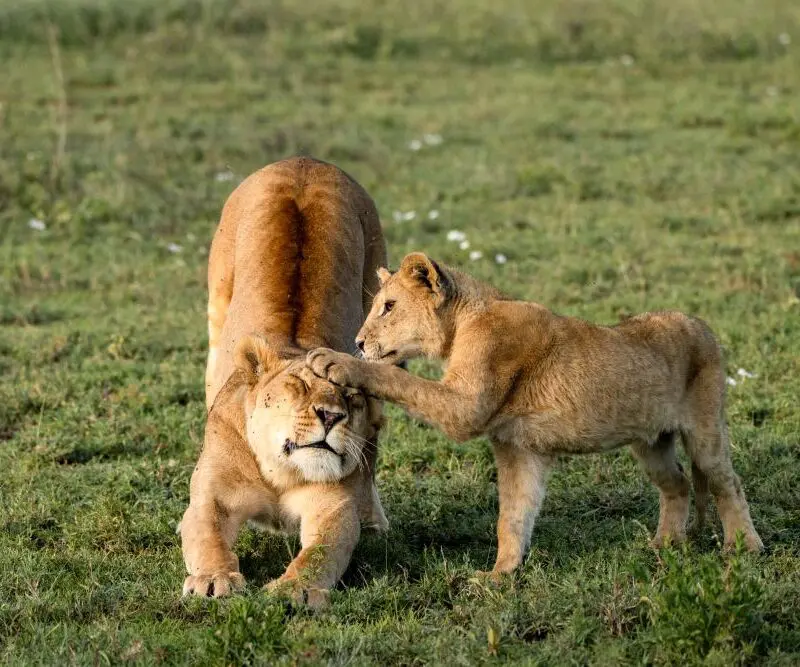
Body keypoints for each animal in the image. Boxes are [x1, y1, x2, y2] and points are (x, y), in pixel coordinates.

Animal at [180, 157, 388, 608]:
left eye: (350, 397)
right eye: (299, 388)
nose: (331, 416)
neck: (283, 473)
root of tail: (304, 161)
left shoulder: (332, 509)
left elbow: (320, 553)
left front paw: (295, 589)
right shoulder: (212, 497)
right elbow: (206, 536)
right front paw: (213, 579)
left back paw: (374, 520)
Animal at [306, 252, 763, 578]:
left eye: (388, 306)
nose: (359, 342)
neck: (465, 321)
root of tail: (701, 323)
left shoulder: (466, 408)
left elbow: (397, 378)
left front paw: (335, 361)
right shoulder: (517, 447)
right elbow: (513, 515)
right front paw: (499, 576)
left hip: (705, 429)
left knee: (727, 483)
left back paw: (744, 547)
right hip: (651, 445)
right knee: (679, 483)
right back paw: (665, 544)